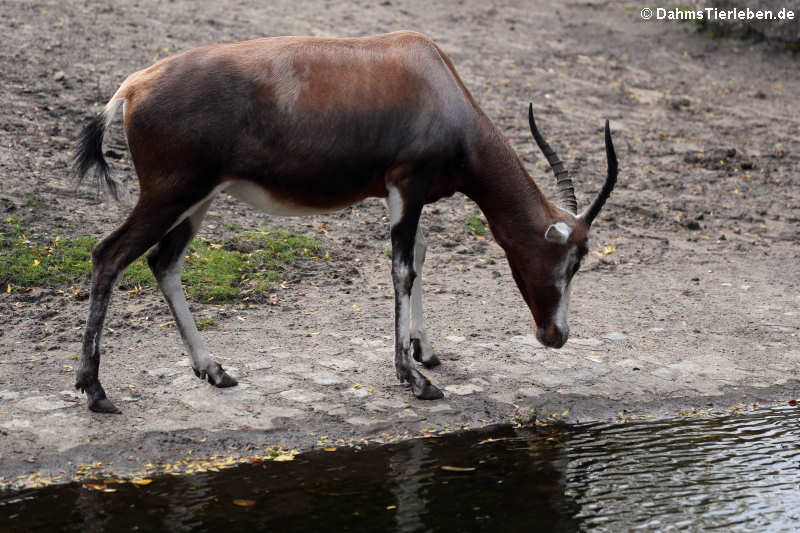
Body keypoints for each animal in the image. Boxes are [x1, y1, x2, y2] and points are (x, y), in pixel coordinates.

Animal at [73, 31, 620, 414]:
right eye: (572, 260)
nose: (556, 335)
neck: (431, 76)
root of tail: (135, 85)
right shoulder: (407, 185)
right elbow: (402, 269)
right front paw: (416, 380)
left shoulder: (400, 195)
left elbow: (419, 256)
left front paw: (425, 352)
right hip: (170, 196)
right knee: (109, 255)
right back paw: (97, 392)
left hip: (196, 201)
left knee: (163, 262)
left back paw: (214, 370)